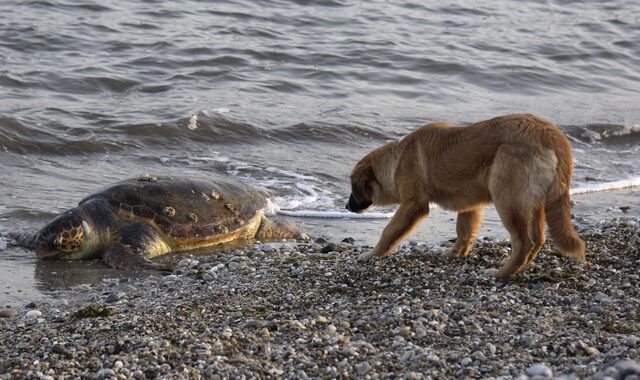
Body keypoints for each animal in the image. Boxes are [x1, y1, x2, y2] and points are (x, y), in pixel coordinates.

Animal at [348, 114, 588, 278]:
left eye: (353, 188)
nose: (347, 207)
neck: (397, 158)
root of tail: (552, 136)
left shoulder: (413, 204)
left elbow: (389, 232)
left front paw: (372, 254)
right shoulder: (470, 205)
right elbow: (464, 232)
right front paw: (456, 253)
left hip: (507, 199)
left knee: (524, 242)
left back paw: (502, 273)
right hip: (533, 203)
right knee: (538, 239)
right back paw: (522, 267)